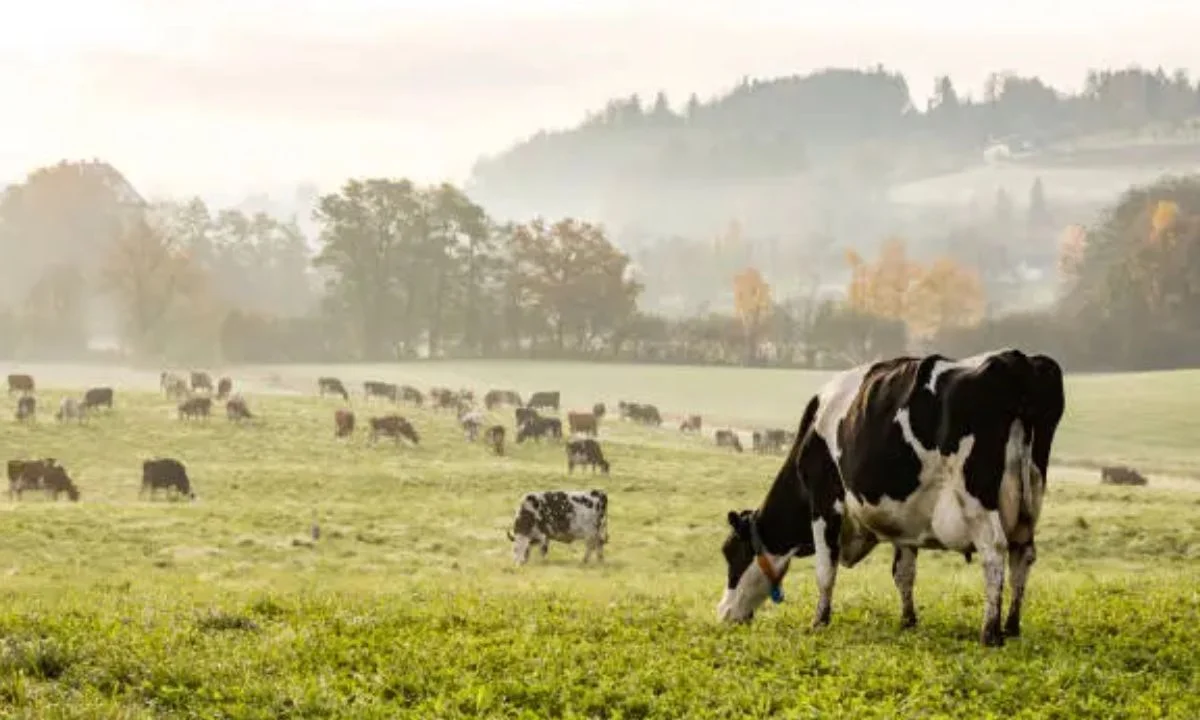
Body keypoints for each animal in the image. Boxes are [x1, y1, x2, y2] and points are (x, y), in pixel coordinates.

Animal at [716, 349, 1065, 648]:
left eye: (730, 553)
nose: (723, 613)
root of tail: (1016, 359)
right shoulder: (905, 518)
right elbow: (903, 572)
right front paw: (908, 620)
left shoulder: (825, 500)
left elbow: (825, 569)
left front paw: (819, 621)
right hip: (1029, 500)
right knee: (1023, 555)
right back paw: (1012, 625)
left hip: (976, 499)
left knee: (994, 552)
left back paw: (990, 632)